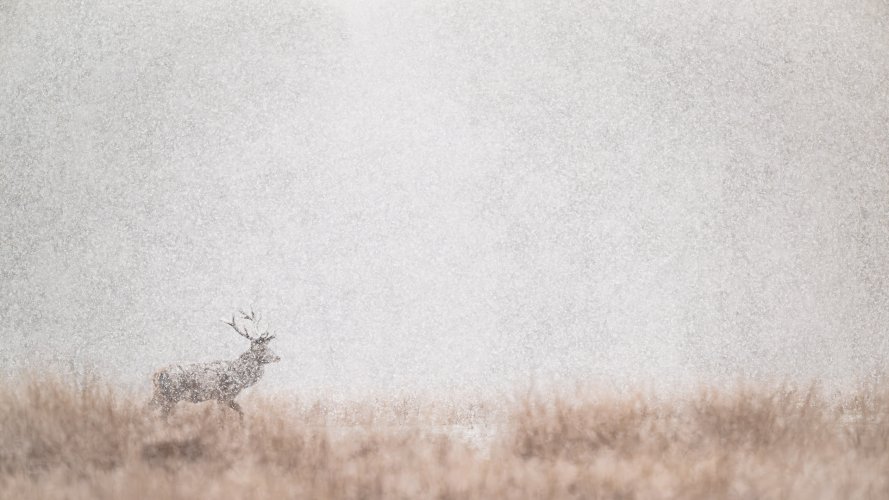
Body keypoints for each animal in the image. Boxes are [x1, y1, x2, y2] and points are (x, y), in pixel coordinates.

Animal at [149, 310, 280, 420]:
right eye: (262, 349)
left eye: (267, 346)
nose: (278, 357)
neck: (241, 378)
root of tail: (157, 374)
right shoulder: (224, 395)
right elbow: (223, 418)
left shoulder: (228, 398)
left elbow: (241, 412)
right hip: (172, 394)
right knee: (161, 415)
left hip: (160, 394)